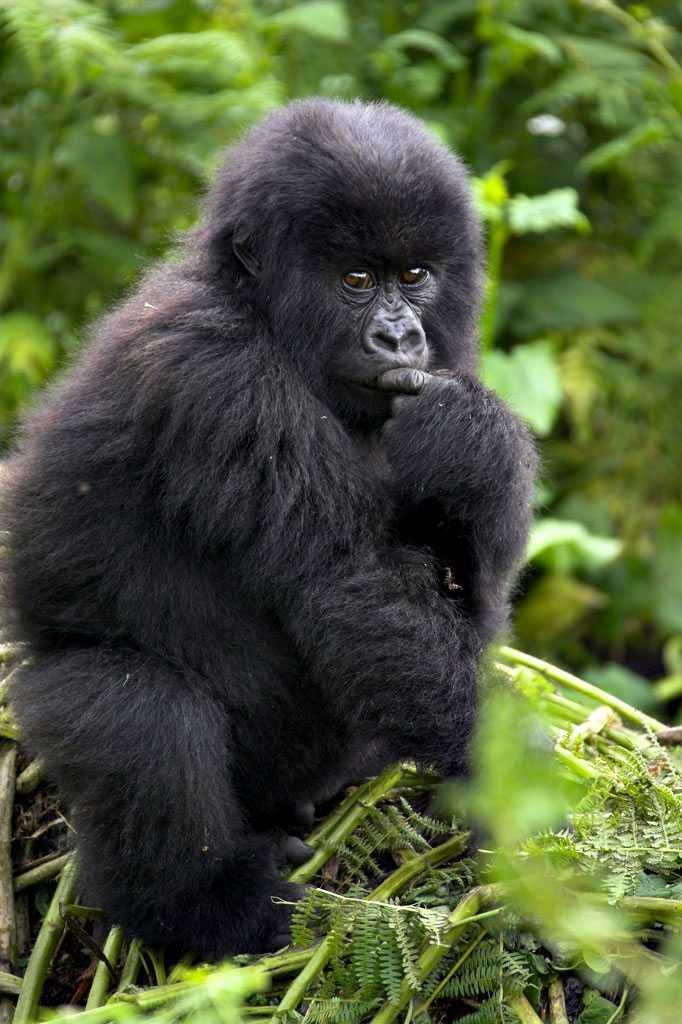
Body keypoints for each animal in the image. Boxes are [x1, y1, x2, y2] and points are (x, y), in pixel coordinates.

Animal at [0, 99, 532, 954]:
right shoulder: (217, 374)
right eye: (356, 280)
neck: (261, 311)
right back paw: (207, 905)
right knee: (134, 711)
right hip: (40, 705)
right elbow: (352, 589)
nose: (399, 339)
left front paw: (471, 440)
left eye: (415, 276)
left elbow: (461, 591)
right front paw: (526, 797)